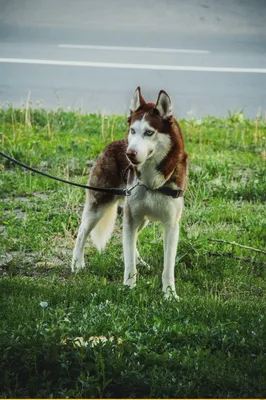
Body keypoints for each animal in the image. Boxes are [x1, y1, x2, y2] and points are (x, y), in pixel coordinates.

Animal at [72, 88, 188, 300]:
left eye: (149, 132)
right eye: (133, 131)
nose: (129, 153)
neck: (151, 183)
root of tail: (114, 143)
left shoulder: (171, 225)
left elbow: (168, 267)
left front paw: (169, 294)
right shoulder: (130, 217)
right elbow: (128, 262)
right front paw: (129, 287)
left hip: (140, 219)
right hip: (100, 204)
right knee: (83, 231)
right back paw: (77, 264)